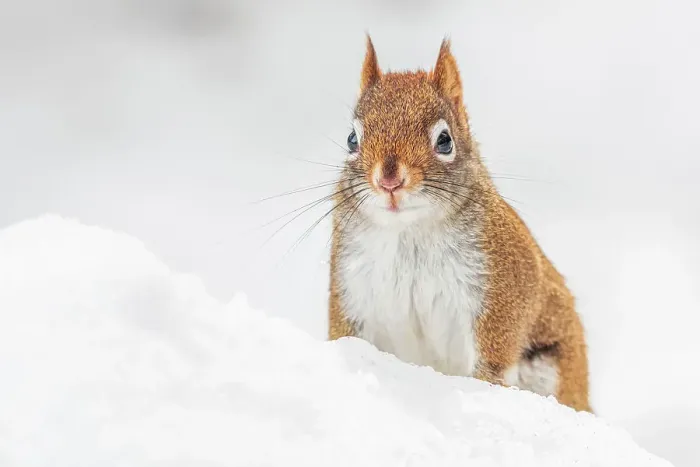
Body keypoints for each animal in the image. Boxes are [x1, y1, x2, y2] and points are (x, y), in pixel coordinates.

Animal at [327, 35, 591, 413]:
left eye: (445, 140)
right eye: (352, 139)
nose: (389, 181)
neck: (411, 231)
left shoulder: (505, 285)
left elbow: (495, 356)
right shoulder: (352, 287)